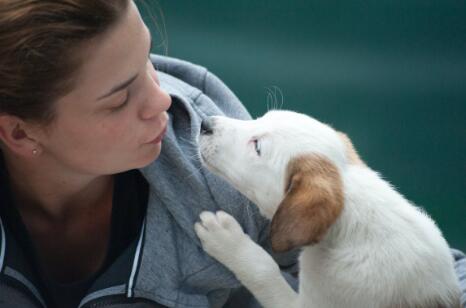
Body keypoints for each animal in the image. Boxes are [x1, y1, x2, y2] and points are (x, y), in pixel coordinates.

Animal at [194, 110, 462, 308]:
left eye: (257, 146)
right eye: (260, 118)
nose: (205, 123)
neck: (350, 226)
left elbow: (264, 269)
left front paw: (226, 239)